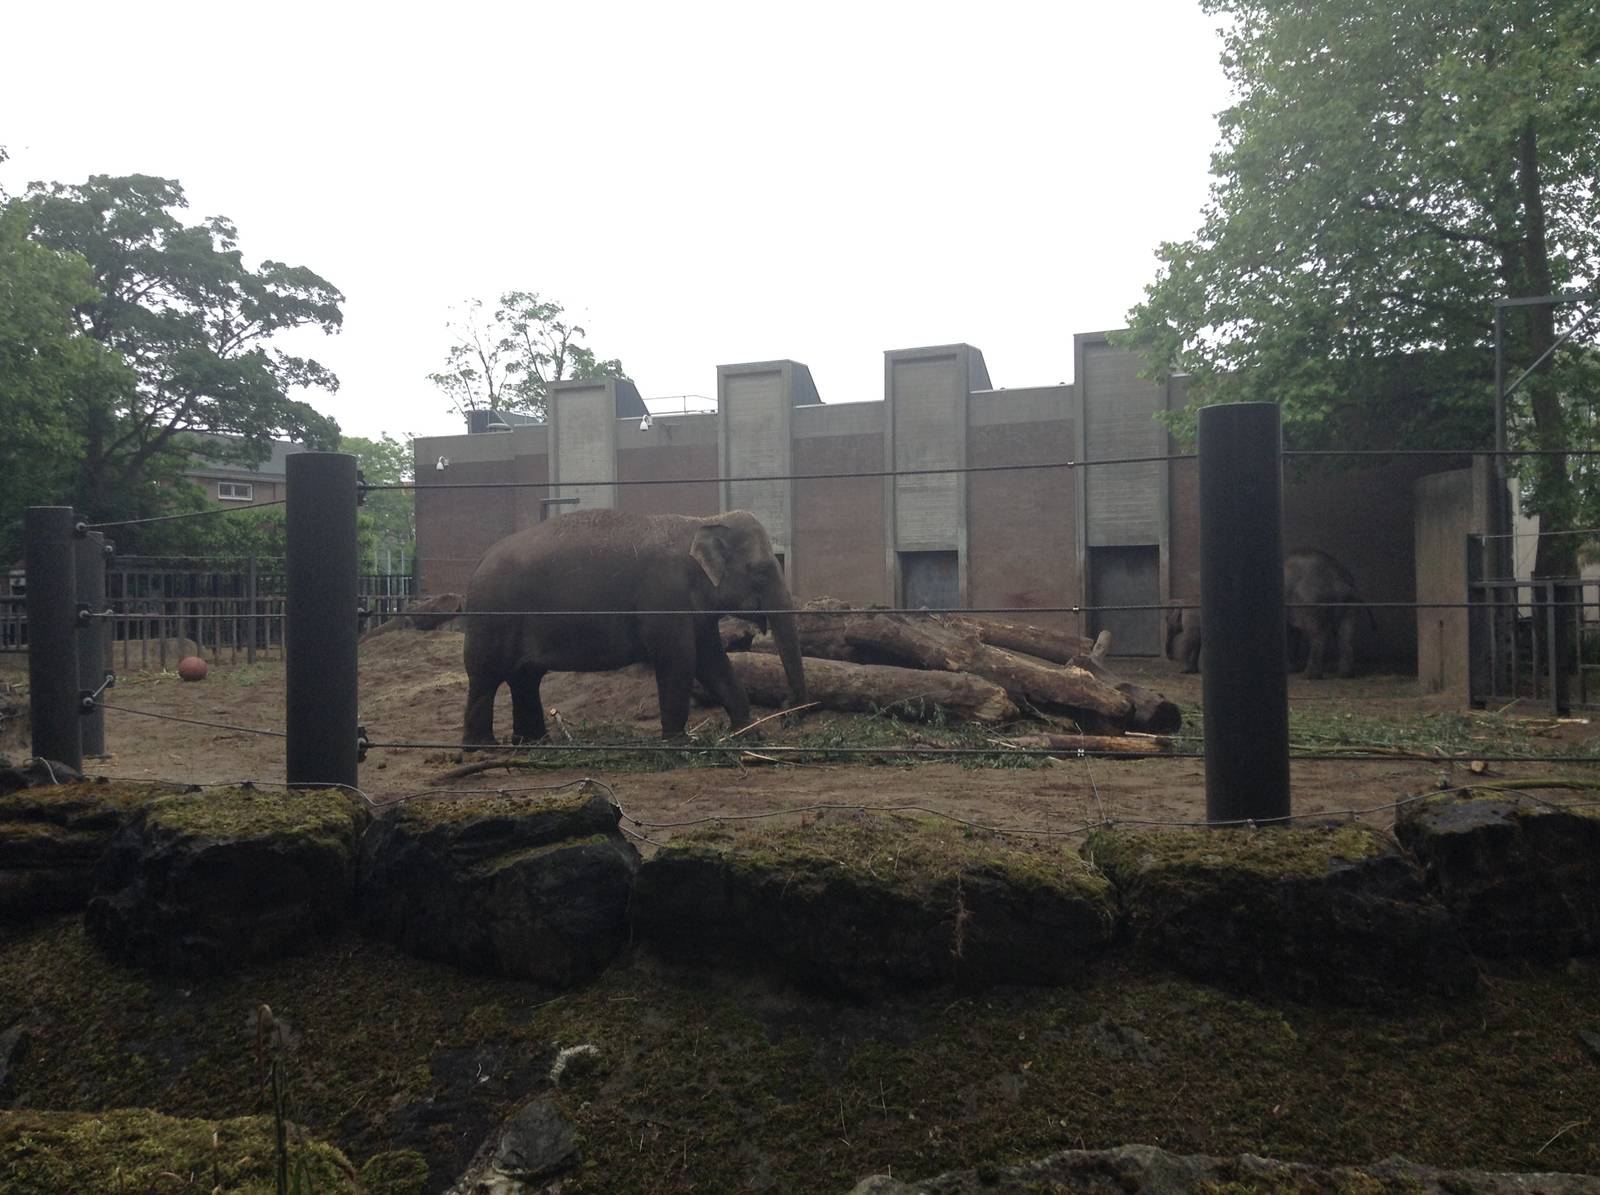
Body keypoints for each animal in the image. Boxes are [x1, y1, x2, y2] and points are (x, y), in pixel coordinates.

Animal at [460, 509, 807, 745]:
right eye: (761, 571)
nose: (789, 713)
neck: (701, 521)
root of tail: (479, 562)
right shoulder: (664, 596)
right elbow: (679, 658)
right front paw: (678, 743)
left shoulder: (696, 611)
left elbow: (713, 661)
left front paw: (750, 734)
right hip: (493, 617)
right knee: (486, 676)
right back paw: (483, 747)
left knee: (525, 677)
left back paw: (533, 742)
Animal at [1163, 550, 1373, 679]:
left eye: (1165, 619)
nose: (1169, 657)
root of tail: (1340, 581)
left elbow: (1191, 638)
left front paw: (1184, 670)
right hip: (1346, 604)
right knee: (1346, 634)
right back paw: (1343, 674)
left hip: (1311, 601)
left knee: (1317, 634)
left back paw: (1310, 676)